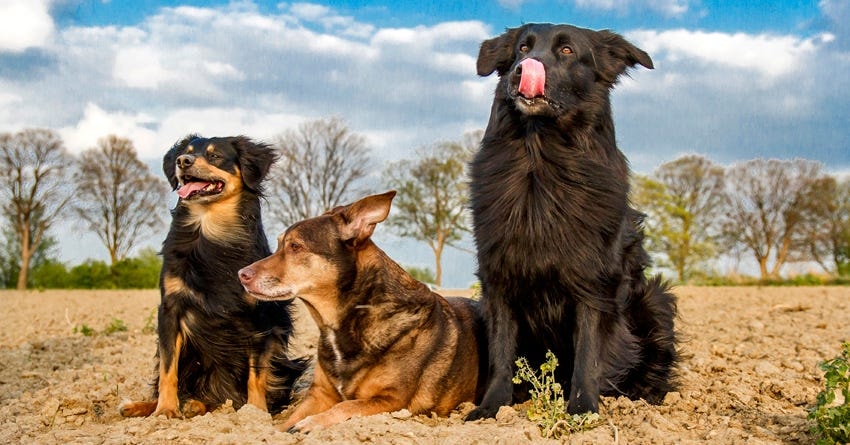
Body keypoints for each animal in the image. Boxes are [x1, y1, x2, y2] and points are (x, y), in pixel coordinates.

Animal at [119, 134, 304, 418]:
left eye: (215, 156)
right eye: (184, 153)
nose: (183, 162)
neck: (211, 225)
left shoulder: (259, 317)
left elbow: (256, 374)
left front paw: (255, 414)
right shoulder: (170, 309)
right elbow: (168, 369)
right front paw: (164, 411)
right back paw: (151, 406)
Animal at [237, 192, 484, 434]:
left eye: (295, 246)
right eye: (279, 244)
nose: (241, 274)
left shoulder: (392, 400)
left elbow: (345, 406)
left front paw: (311, 423)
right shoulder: (320, 394)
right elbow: (287, 420)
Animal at [464, 23, 676, 420]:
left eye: (566, 50)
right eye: (522, 49)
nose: (522, 70)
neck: (541, 158)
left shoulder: (594, 282)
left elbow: (588, 351)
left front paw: (582, 409)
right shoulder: (498, 274)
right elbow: (501, 348)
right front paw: (492, 407)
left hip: (655, 300)